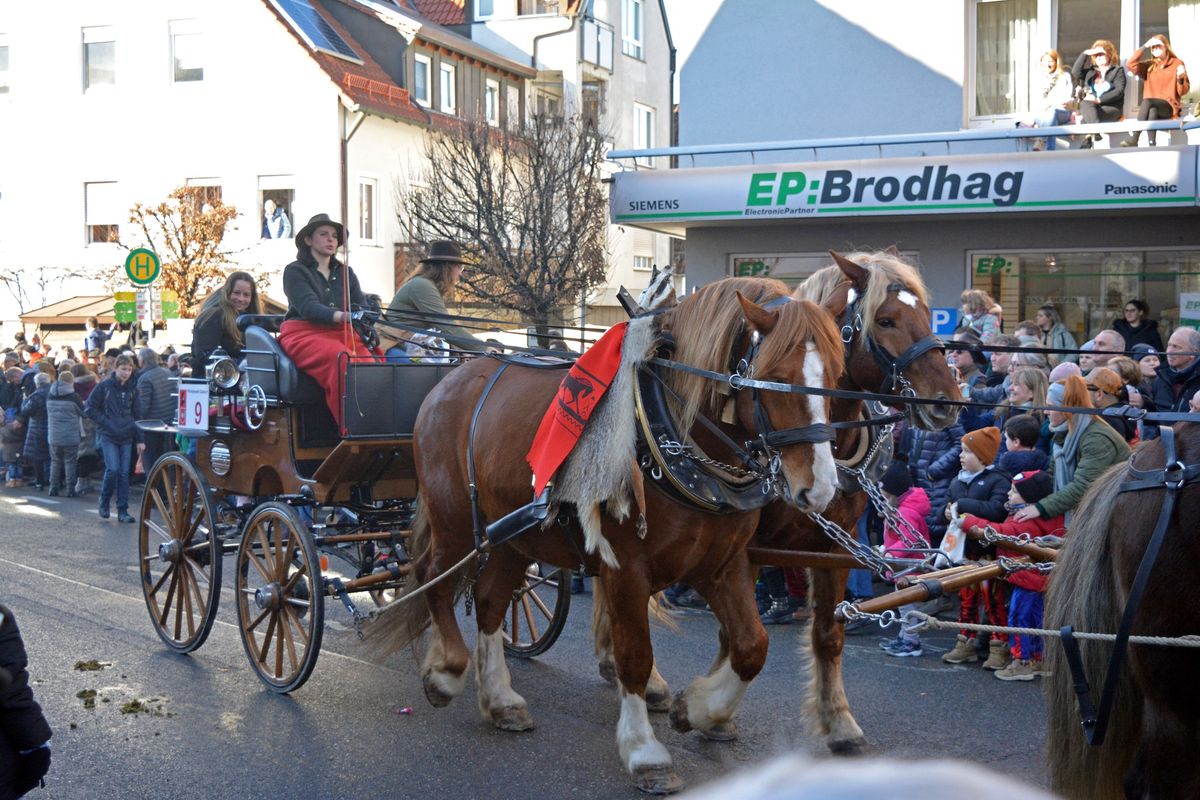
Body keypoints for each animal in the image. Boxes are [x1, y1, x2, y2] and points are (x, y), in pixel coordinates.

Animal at [364, 278, 844, 791]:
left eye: (835, 375)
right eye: (772, 374)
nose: (820, 489)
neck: (669, 435)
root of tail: (449, 382)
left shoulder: (722, 565)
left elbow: (752, 647)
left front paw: (696, 709)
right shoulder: (626, 568)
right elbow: (635, 653)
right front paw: (645, 750)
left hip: (516, 535)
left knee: (491, 600)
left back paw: (500, 699)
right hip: (455, 521)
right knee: (432, 576)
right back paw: (446, 671)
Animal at [595, 251, 960, 758]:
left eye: (928, 315)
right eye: (885, 320)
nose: (947, 403)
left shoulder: (833, 549)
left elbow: (828, 634)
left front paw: (839, 721)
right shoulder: (745, 548)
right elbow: (735, 635)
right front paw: (714, 713)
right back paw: (640, 677)